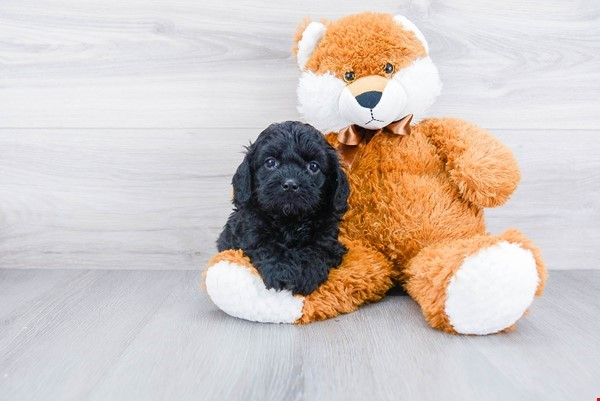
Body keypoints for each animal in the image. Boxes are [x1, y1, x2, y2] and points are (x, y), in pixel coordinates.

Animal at [219, 121, 352, 294]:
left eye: (313, 166)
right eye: (270, 162)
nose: (290, 184)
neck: (290, 219)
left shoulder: (328, 238)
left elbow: (317, 249)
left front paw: (306, 273)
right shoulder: (251, 229)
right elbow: (267, 246)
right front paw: (281, 272)